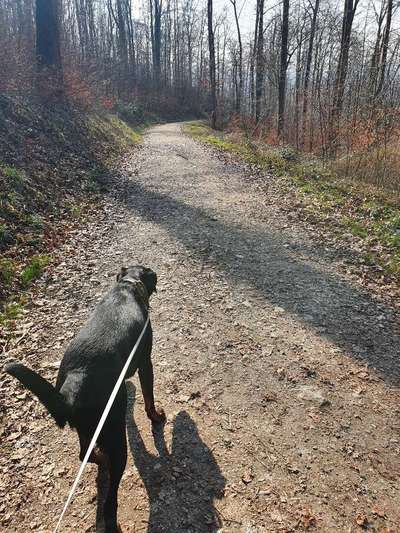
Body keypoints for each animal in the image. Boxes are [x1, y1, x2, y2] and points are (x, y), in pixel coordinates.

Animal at [5, 264, 164, 528]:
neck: (128, 286)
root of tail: (73, 388)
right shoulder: (145, 363)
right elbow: (149, 397)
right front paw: (156, 417)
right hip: (115, 435)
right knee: (109, 501)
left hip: (89, 428)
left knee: (84, 454)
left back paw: (101, 459)